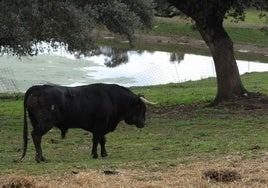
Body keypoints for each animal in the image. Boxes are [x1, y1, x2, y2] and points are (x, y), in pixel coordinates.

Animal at [19, 83, 155, 162]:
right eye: (141, 108)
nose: (144, 123)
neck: (113, 99)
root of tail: (39, 87)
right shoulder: (99, 125)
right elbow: (96, 140)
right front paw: (94, 155)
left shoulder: (102, 127)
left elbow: (102, 140)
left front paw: (104, 154)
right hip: (45, 122)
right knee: (36, 135)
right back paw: (39, 158)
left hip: (35, 121)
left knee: (37, 137)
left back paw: (41, 157)